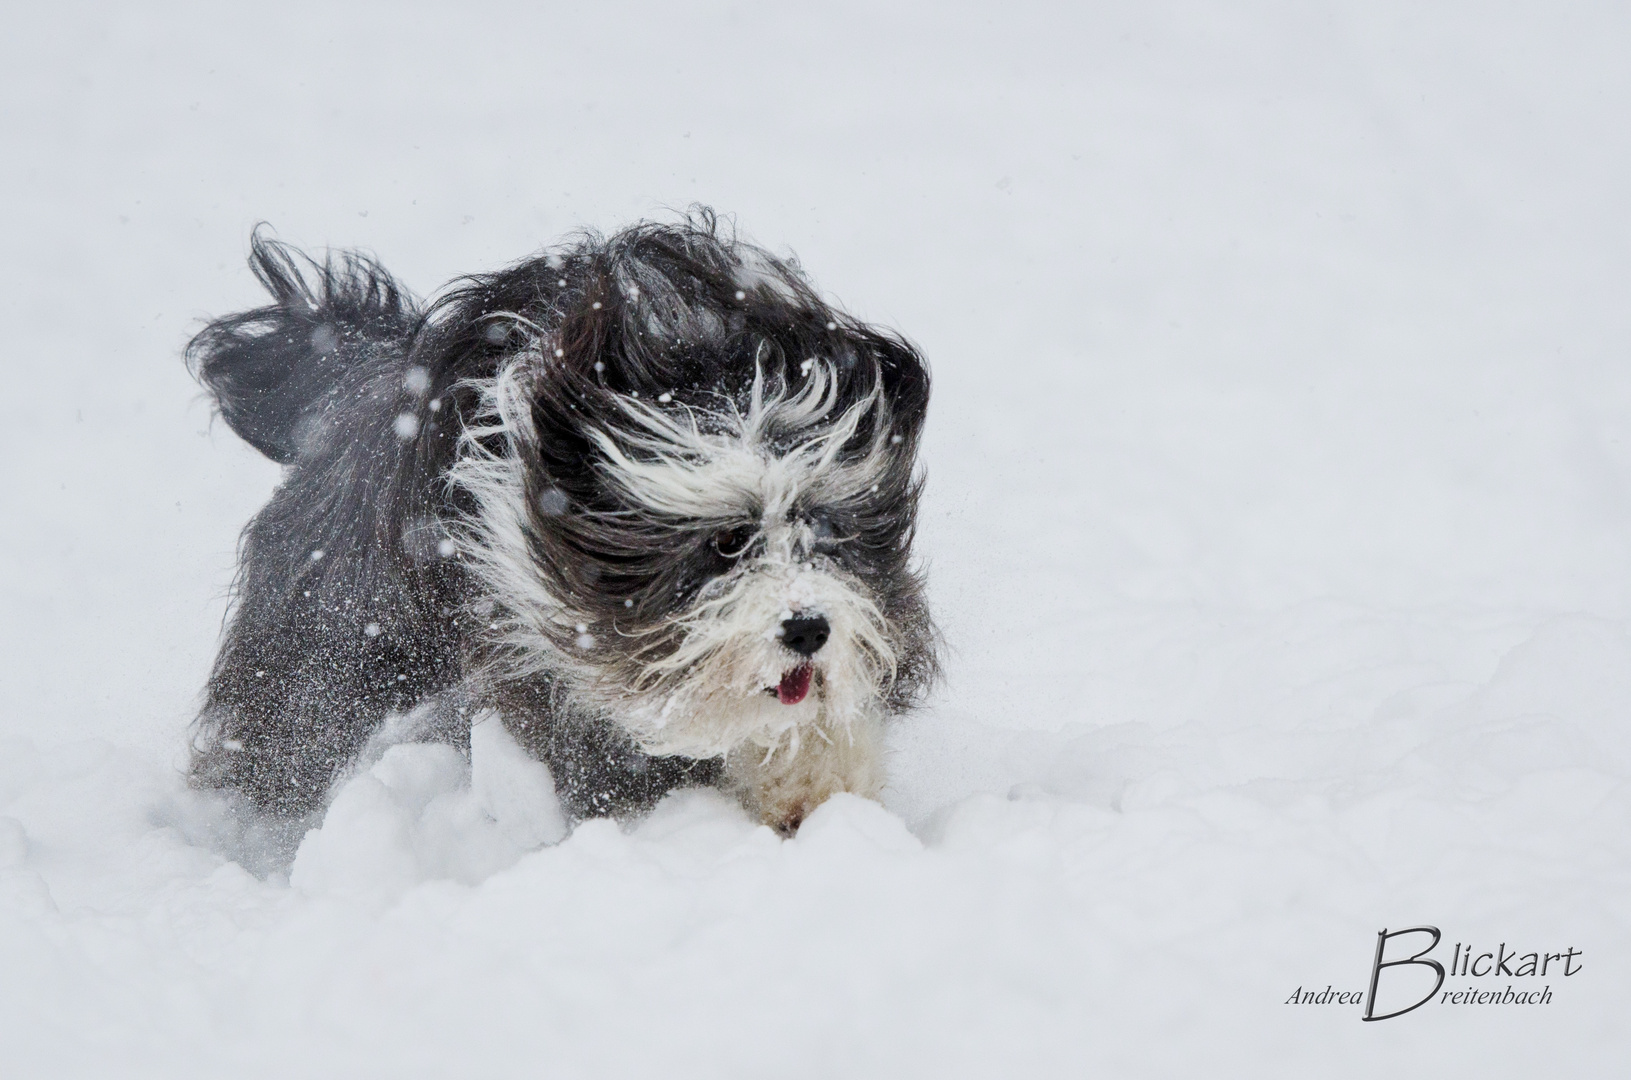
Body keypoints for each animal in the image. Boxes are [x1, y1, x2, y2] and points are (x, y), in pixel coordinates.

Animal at [185, 213, 939, 835]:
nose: (807, 629)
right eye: (726, 541)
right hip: (337, 631)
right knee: (293, 726)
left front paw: (814, 794)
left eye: (821, 529)